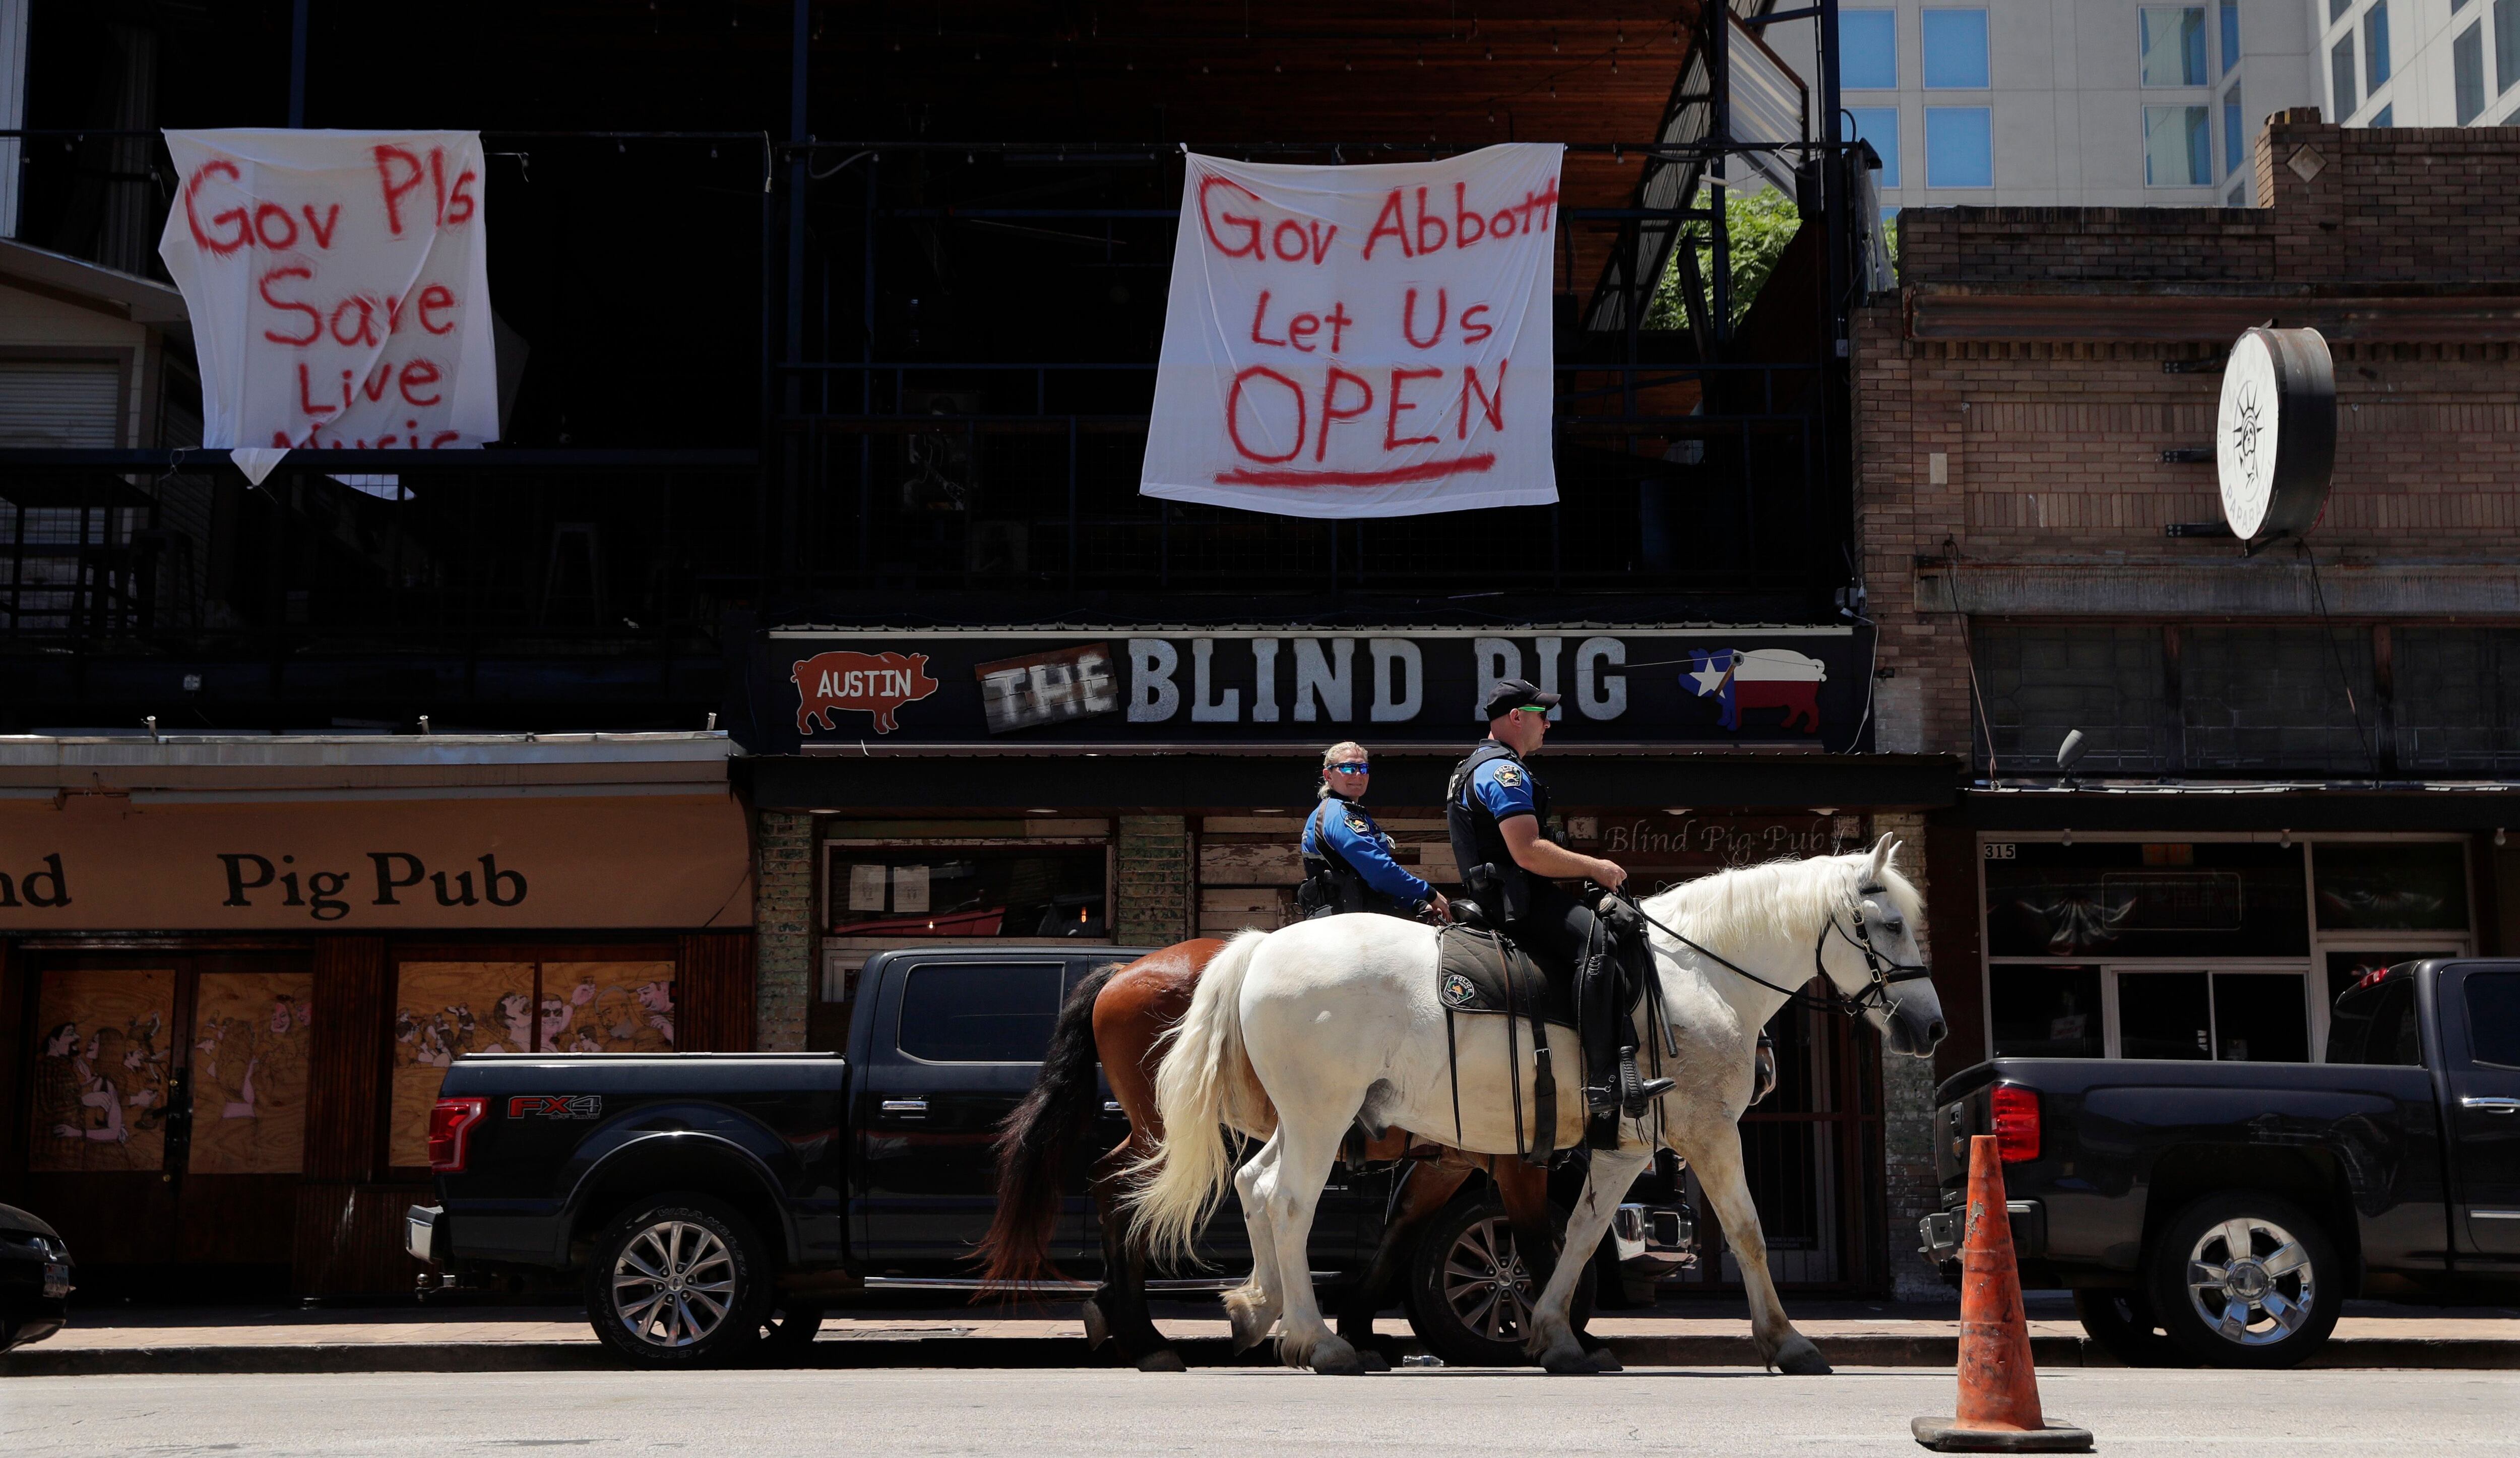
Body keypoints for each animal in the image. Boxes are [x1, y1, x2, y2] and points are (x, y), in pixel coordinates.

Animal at [973, 936, 1562, 1370]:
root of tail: (1119, 972)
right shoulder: (1512, 1156)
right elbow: (1536, 1238)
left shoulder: (1450, 1160)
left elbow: (1401, 1233)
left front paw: (1355, 1324)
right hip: (1161, 1126)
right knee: (1119, 1188)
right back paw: (1144, 1337)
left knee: (1110, 1183)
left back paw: (1118, 1315)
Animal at [1129, 841, 1945, 1380]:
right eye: (1889, 925)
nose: (1932, 1027)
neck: (1702, 972)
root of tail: (1262, 949)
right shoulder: (1711, 1131)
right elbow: (1745, 1230)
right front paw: (1788, 1341)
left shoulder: (1623, 1146)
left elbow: (1579, 1235)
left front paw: (1555, 1337)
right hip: (1321, 1117)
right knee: (1289, 1202)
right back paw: (1317, 1340)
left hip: (1304, 1119)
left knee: (1254, 1187)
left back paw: (1261, 1311)